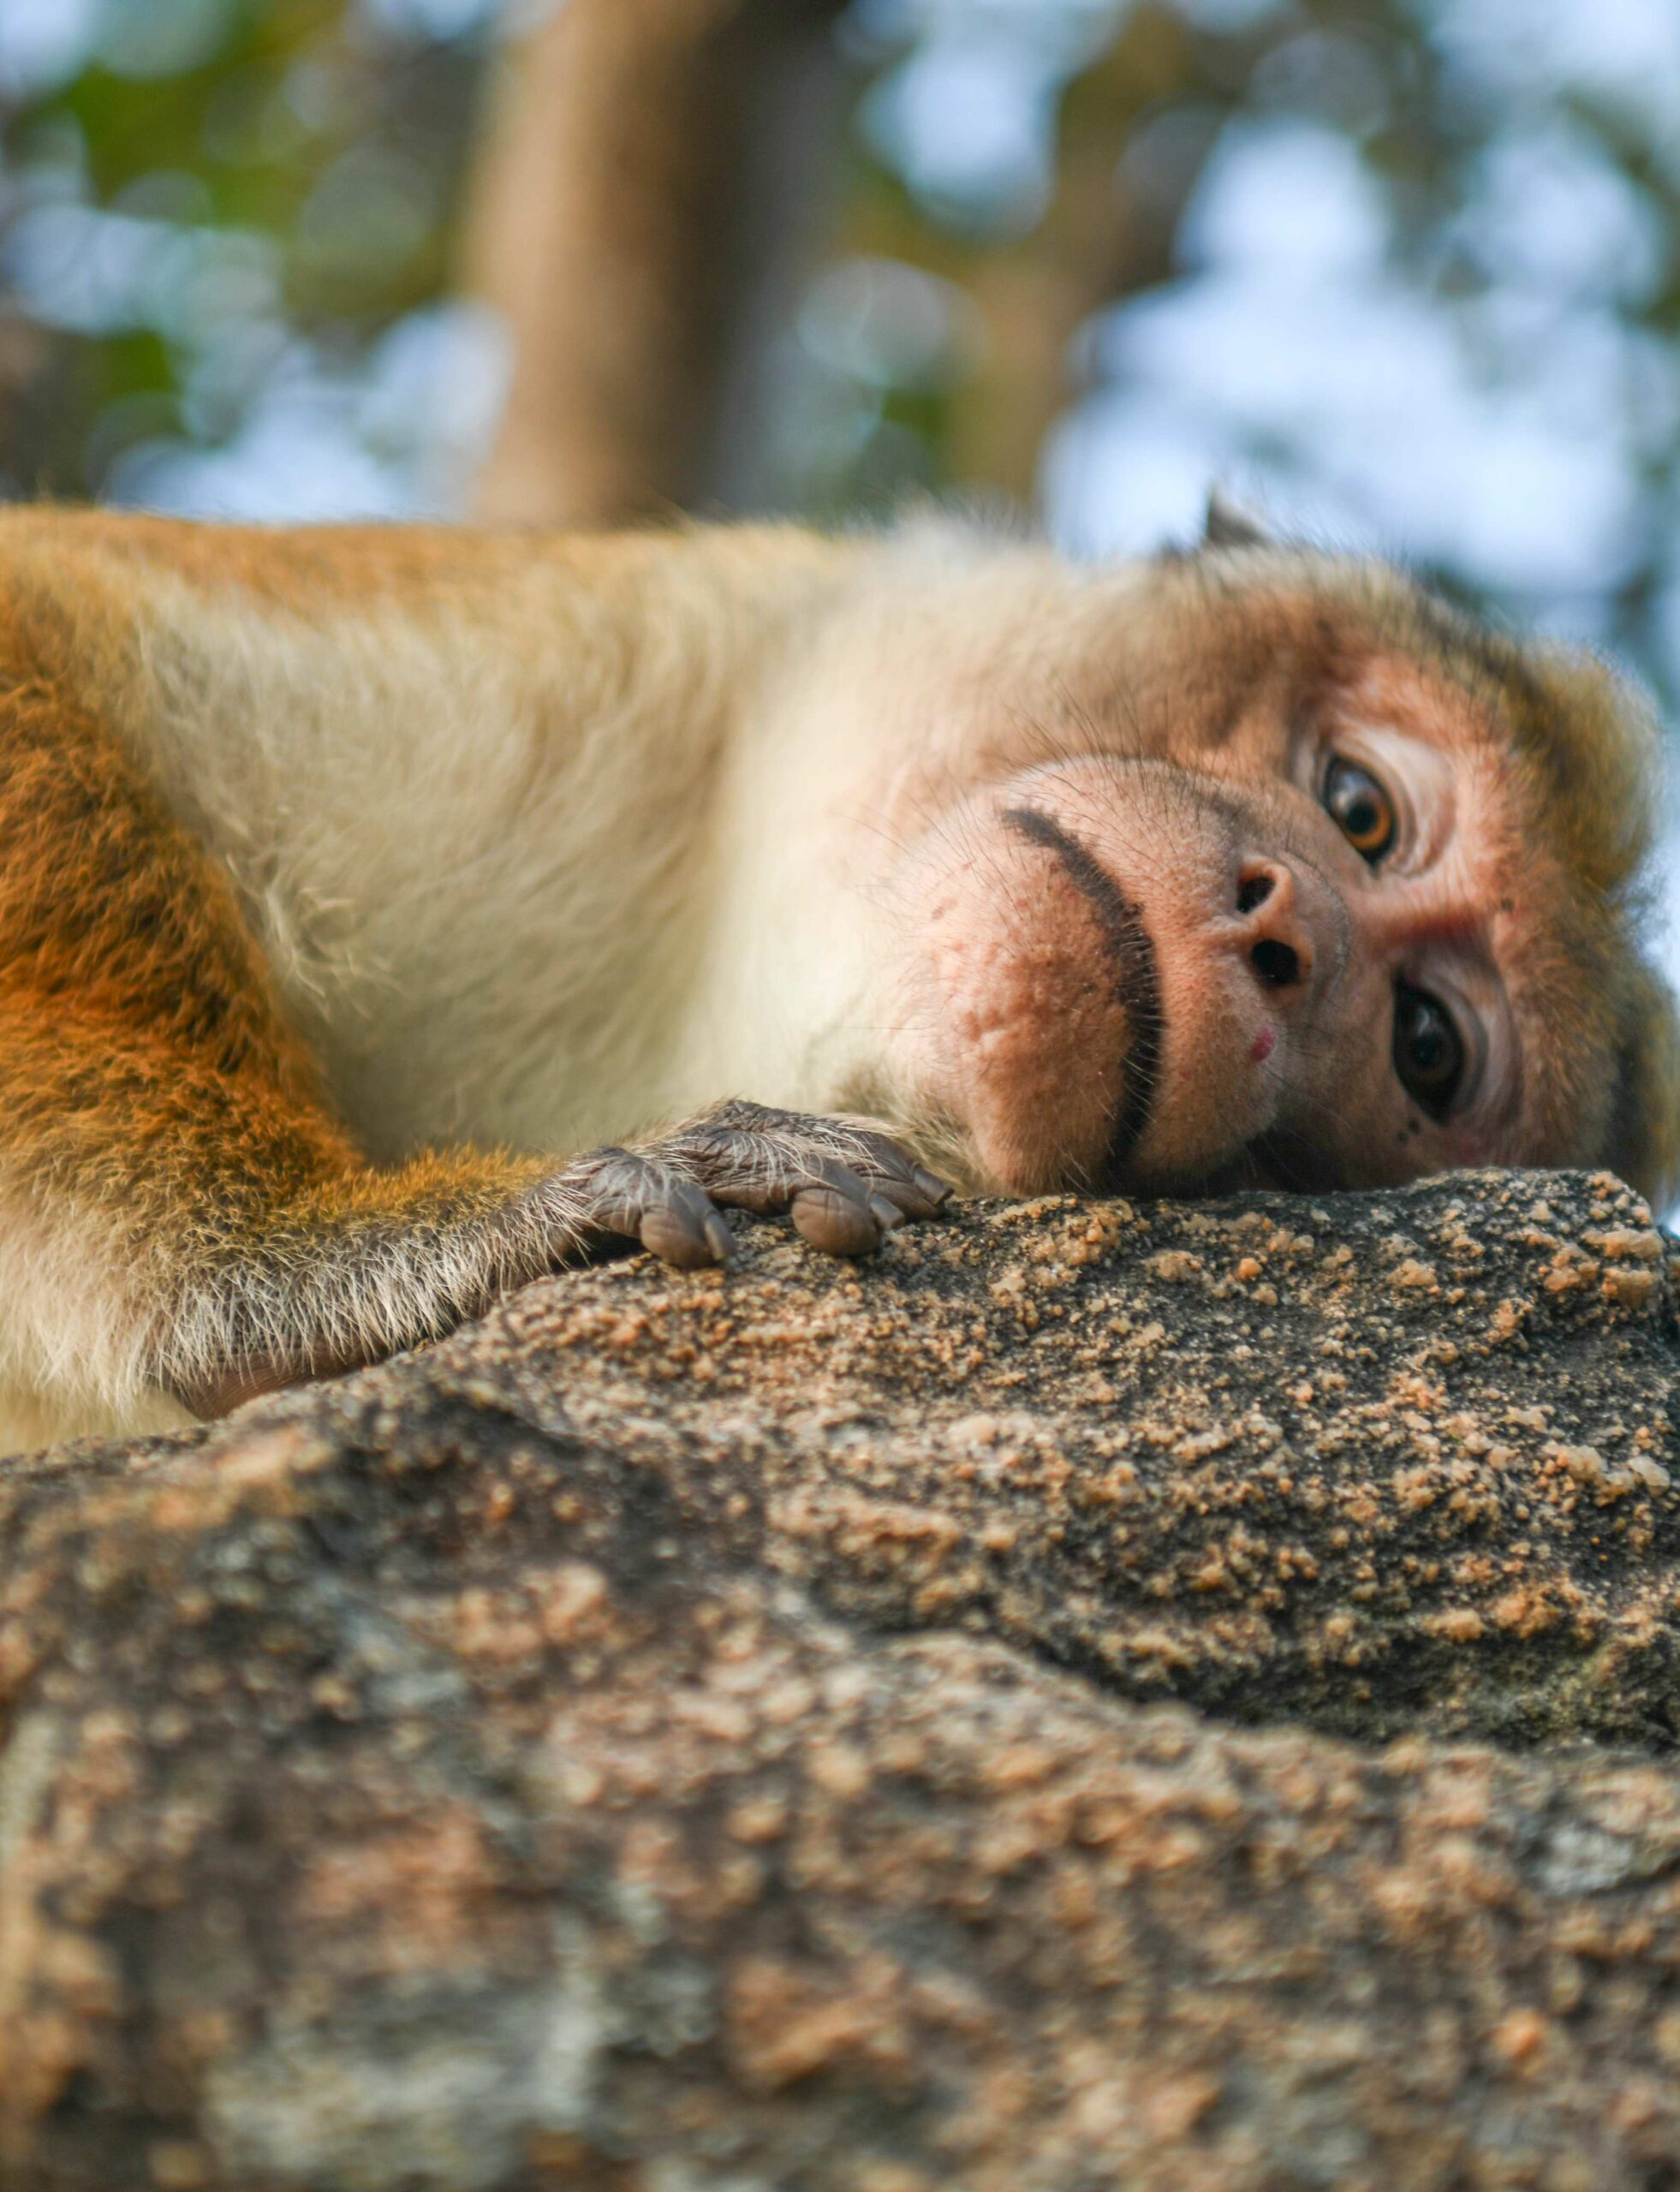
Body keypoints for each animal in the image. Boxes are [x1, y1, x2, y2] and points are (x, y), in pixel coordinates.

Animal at [0, 493, 1673, 1451]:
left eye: (1425, 1051)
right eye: (1361, 809)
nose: (1293, 939)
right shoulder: (619, 667)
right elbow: (40, 607)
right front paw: (278, 1252)